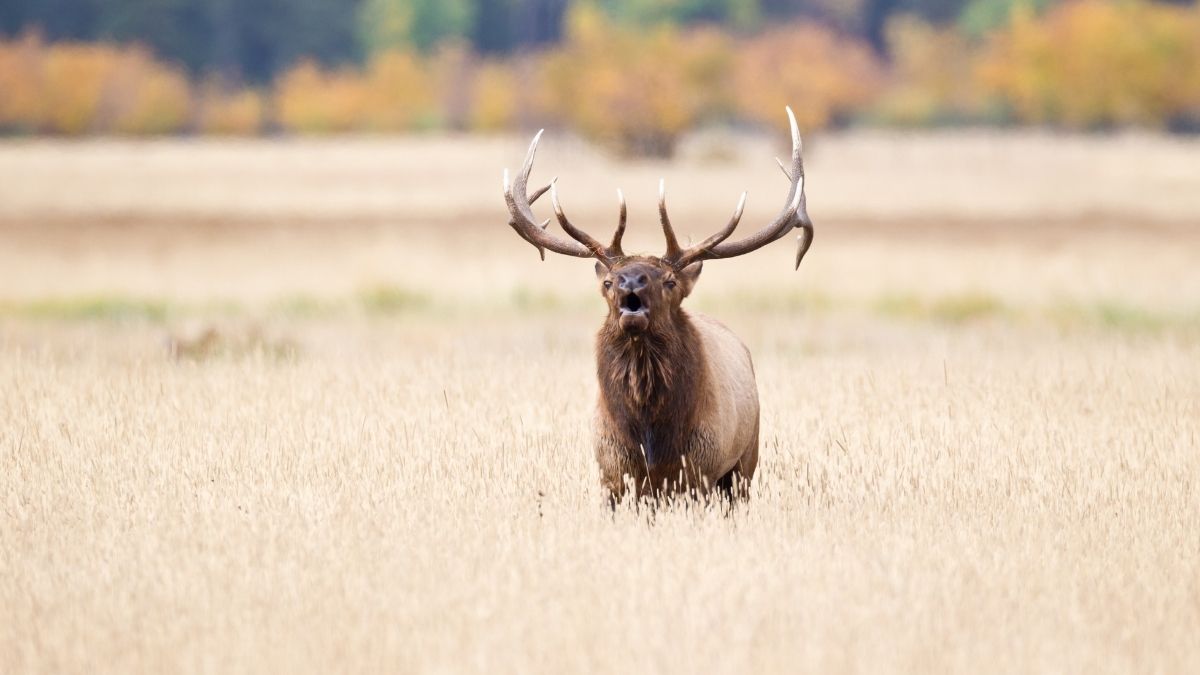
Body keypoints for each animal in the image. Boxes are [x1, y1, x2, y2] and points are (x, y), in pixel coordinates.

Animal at [503, 108, 813, 503]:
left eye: (669, 281)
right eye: (607, 282)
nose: (630, 282)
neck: (651, 437)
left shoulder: (700, 472)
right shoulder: (613, 476)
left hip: (744, 464)